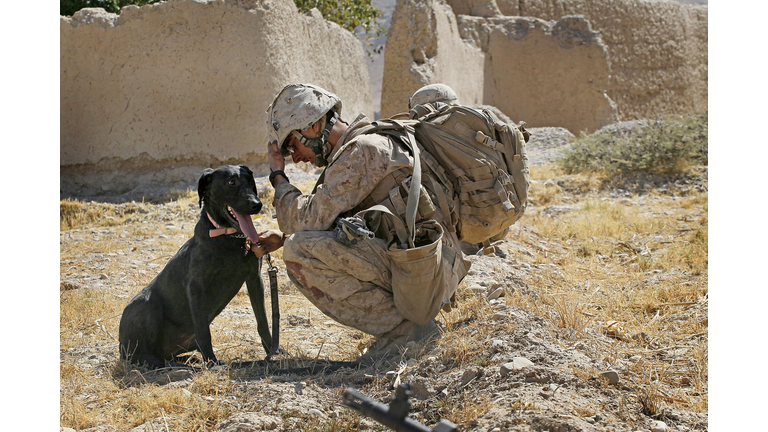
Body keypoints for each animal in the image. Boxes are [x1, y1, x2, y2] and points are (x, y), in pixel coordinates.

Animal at [118, 165, 274, 368]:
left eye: (250, 181)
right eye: (231, 182)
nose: (257, 204)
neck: (230, 238)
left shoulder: (255, 278)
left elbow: (262, 321)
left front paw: (275, 351)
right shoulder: (195, 286)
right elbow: (203, 331)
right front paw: (212, 363)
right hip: (145, 305)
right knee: (138, 355)